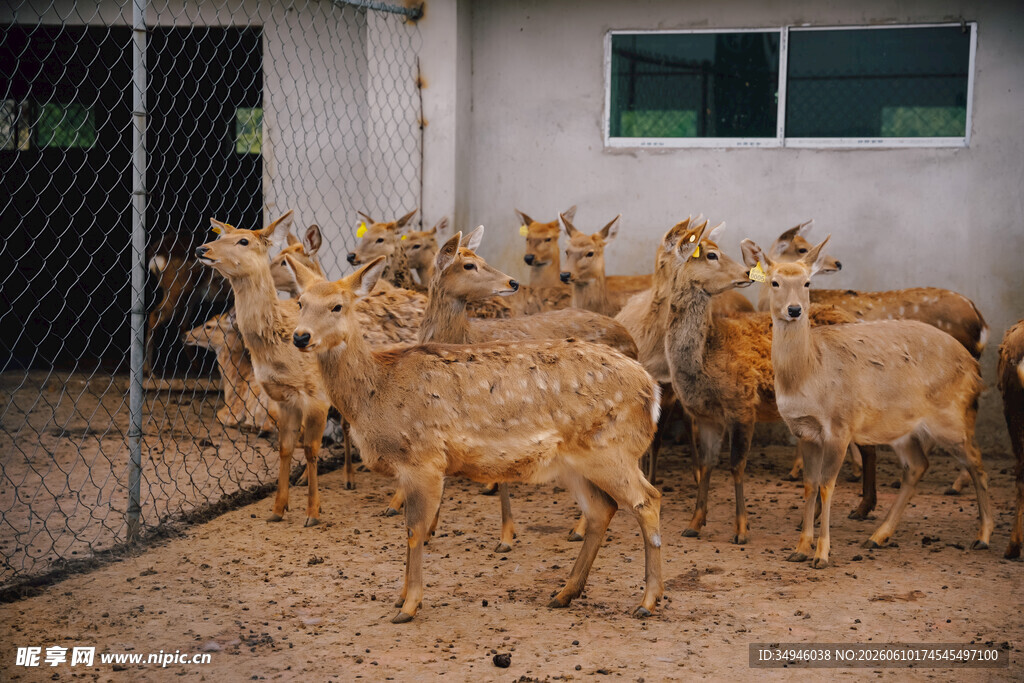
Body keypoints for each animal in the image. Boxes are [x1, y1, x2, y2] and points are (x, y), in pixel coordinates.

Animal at [288, 254, 664, 623]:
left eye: (337, 306)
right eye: (300, 302)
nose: (300, 337)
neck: (376, 392)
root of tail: (651, 388)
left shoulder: (424, 459)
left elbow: (415, 530)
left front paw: (408, 605)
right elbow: (410, 530)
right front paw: (399, 598)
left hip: (612, 449)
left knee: (647, 500)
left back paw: (647, 601)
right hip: (574, 462)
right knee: (603, 509)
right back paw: (564, 594)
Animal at [663, 219, 876, 544]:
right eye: (711, 254)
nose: (745, 273)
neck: (704, 360)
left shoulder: (742, 404)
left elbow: (736, 465)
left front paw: (741, 529)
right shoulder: (706, 416)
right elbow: (707, 464)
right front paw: (694, 523)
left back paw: (858, 508)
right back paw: (849, 509)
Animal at [743, 235, 993, 568]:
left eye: (808, 282)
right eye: (775, 282)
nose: (794, 310)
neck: (810, 373)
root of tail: (974, 366)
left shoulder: (840, 426)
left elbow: (827, 485)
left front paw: (822, 554)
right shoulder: (803, 430)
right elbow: (809, 485)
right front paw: (799, 548)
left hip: (951, 416)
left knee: (976, 460)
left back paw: (983, 535)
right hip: (901, 427)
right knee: (917, 466)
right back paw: (878, 536)